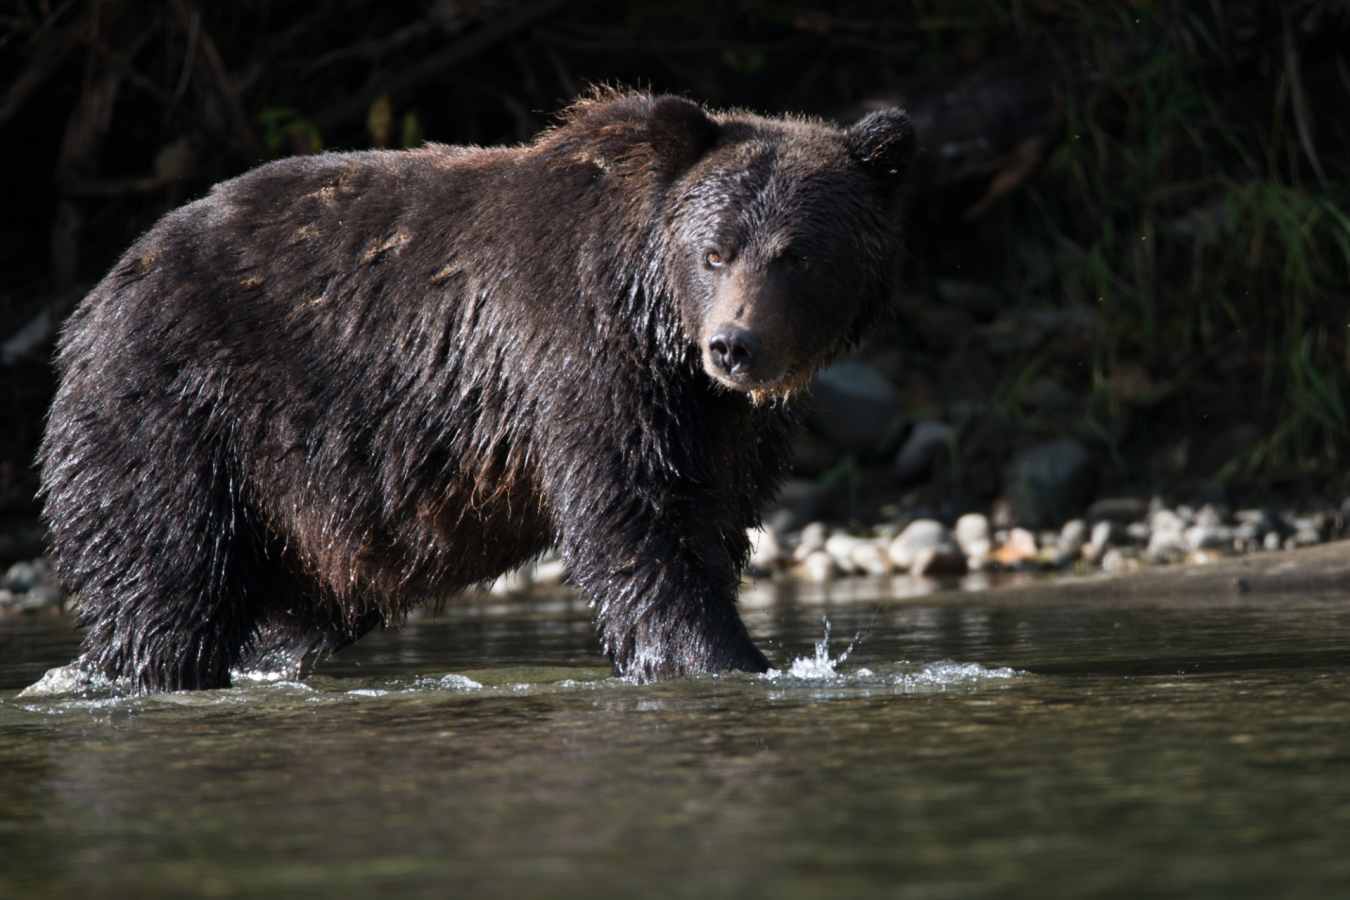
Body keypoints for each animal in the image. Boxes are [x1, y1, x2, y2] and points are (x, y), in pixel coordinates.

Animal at [39, 89, 914, 691]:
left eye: (797, 255)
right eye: (716, 252)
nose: (735, 346)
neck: (653, 316)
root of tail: (96, 298)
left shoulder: (725, 426)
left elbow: (710, 522)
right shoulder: (581, 359)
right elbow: (637, 524)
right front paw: (725, 658)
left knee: (293, 609)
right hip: (179, 412)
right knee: (165, 581)